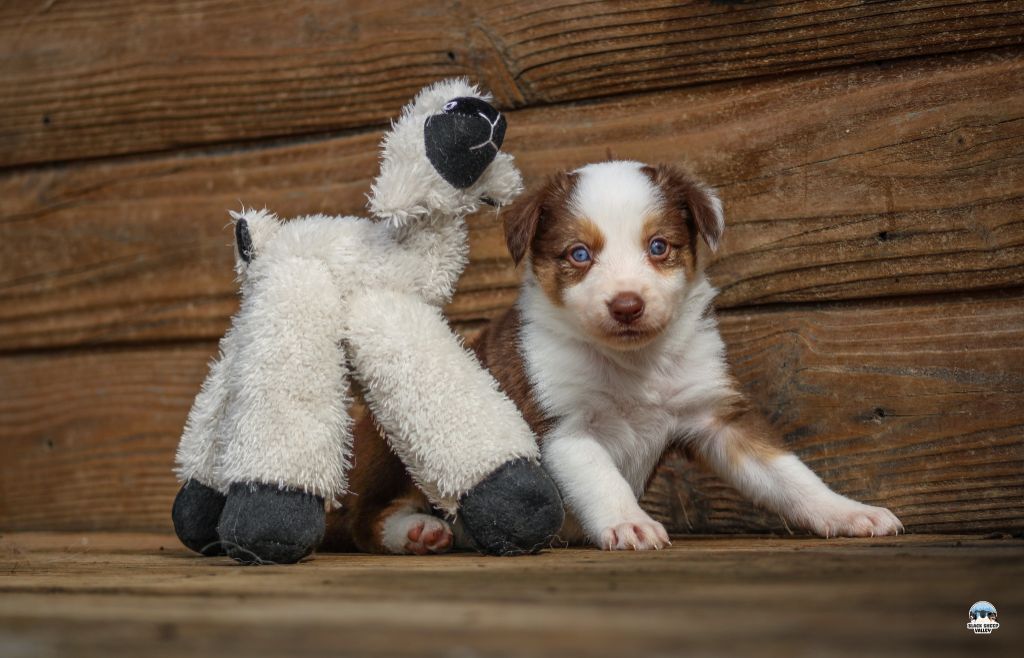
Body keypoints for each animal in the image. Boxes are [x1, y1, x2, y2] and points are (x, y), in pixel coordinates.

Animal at [327, 161, 905, 552]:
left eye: (659, 247)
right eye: (580, 254)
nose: (627, 305)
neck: (632, 362)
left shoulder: (717, 416)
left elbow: (789, 474)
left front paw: (848, 512)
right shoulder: (560, 425)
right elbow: (601, 475)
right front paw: (629, 522)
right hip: (405, 438)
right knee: (369, 517)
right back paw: (418, 530)